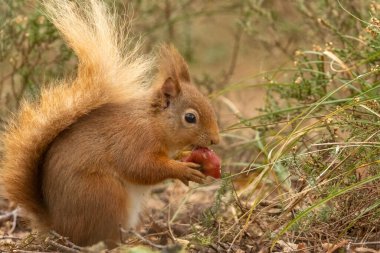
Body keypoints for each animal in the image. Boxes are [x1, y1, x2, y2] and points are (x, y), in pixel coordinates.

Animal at [0, 0, 220, 246]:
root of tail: (58, 227)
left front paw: (184, 157)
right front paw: (182, 169)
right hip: (104, 195)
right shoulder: (134, 140)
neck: (153, 123)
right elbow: (141, 167)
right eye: (190, 118)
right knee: (103, 239)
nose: (216, 140)